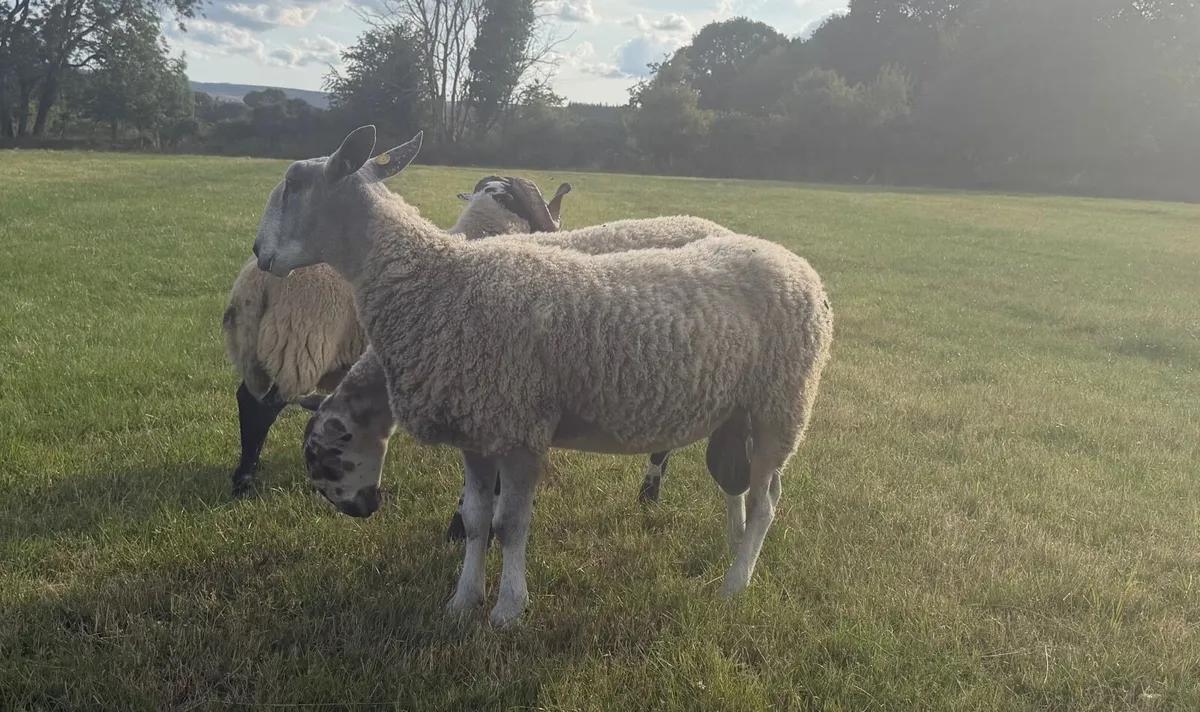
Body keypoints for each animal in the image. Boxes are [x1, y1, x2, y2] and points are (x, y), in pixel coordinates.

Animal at [222, 173, 573, 500]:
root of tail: (254, 284)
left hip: (258, 349)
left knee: (246, 397)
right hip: (297, 345)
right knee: (262, 408)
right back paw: (244, 479)